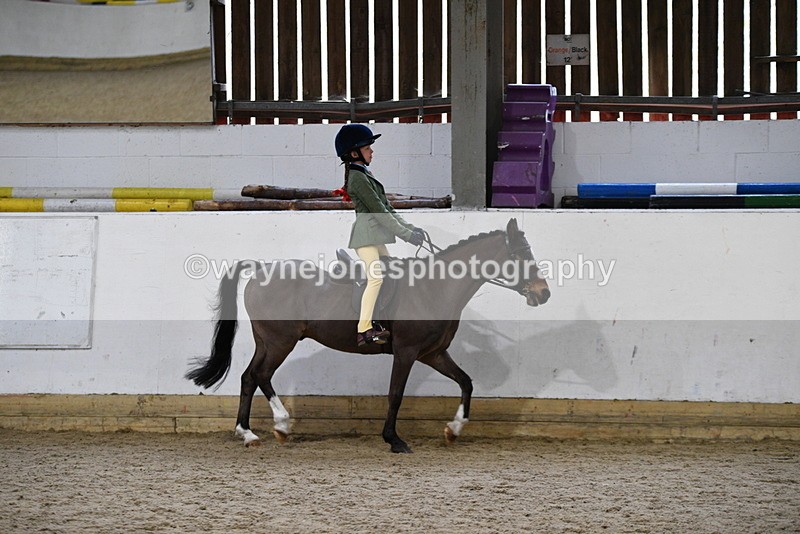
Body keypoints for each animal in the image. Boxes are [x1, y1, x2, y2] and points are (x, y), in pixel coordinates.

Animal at [186, 218, 550, 453]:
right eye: (520, 255)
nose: (543, 293)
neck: (434, 288)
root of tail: (262, 269)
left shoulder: (433, 353)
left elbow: (466, 382)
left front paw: (453, 429)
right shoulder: (407, 352)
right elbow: (395, 395)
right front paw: (394, 440)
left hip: (267, 341)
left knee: (249, 377)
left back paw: (247, 433)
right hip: (280, 342)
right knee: (261, 375)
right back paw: (281, 424)